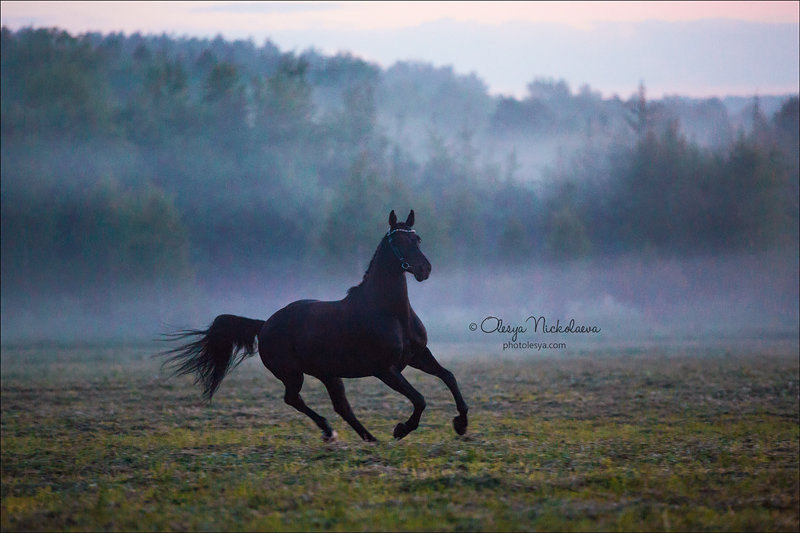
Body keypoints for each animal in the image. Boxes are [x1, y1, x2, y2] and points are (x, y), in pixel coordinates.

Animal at [159, 209, 466, 440]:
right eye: (398, 242)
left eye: (418, 239)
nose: (424, 269)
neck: (389, 313)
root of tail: (265, 324)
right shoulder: (385, 370)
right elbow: (420, 398)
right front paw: (401, 429)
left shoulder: (417, 355)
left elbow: (449, 376)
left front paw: (461, 423)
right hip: (293, 373)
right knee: (294, 400)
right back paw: (331, 432)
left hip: (328, 374)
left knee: (340, 406)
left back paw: (368, 438)